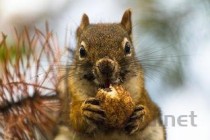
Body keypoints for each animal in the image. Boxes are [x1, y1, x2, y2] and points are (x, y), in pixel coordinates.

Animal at [55, 9, 167, 139]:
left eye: (128, 47)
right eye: (81, 51)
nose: (106, 66)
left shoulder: (141, 93)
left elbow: (149, 110)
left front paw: (140, 116)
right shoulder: (73, 96)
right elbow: (73, 117)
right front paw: (86, 112)